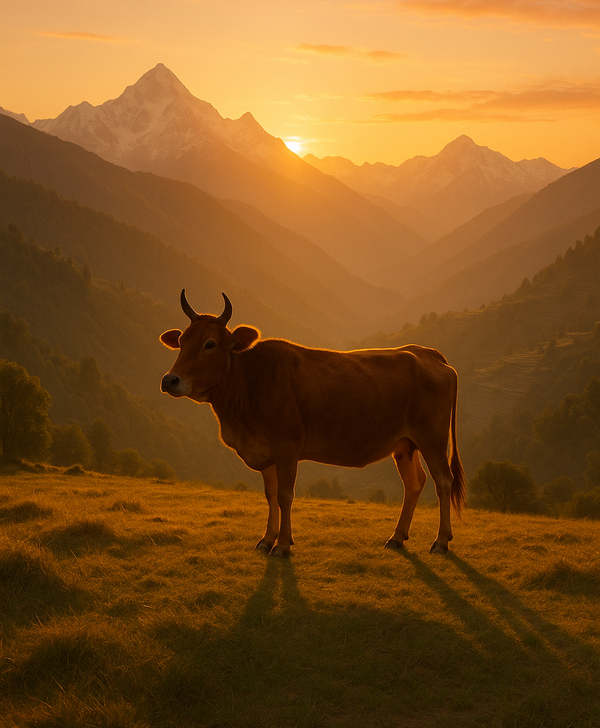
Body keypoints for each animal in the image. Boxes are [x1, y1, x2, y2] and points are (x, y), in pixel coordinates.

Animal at [160, 291, 465, 557]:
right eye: (182, 341)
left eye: (210, 343)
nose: (169, 380)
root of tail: (428, 353)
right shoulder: (265, 451)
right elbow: (270, 495)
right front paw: (266, 540)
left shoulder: (287, 445)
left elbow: (285, 495)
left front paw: (282, 545)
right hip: (404, 444)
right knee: (414, 483)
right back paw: (397, 537)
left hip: (433, 438)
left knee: (442, 481)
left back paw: (441, 542)